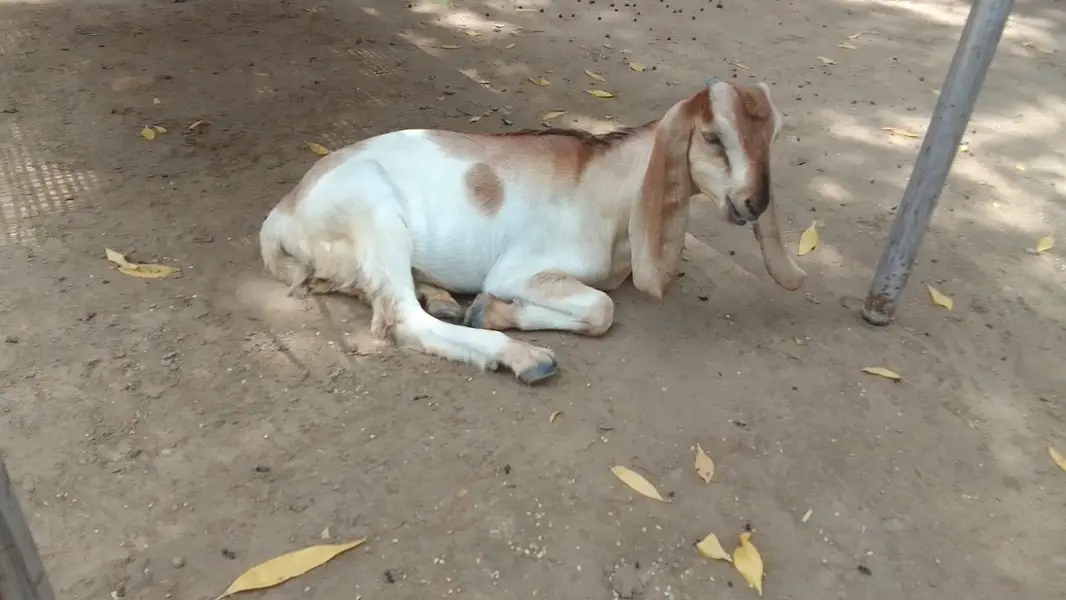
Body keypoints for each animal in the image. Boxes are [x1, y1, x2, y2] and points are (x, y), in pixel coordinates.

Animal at [259, 78, 807, 385]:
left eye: (773, 136)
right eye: (714, 137)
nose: (754, 202)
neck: (607, 189)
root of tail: (283, 213)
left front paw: (486, 310)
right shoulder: (519, 270)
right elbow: (601, 309)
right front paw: (493, 312)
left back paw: (443, 298)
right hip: (375, 213)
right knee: (402, 318)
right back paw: (522, 357)